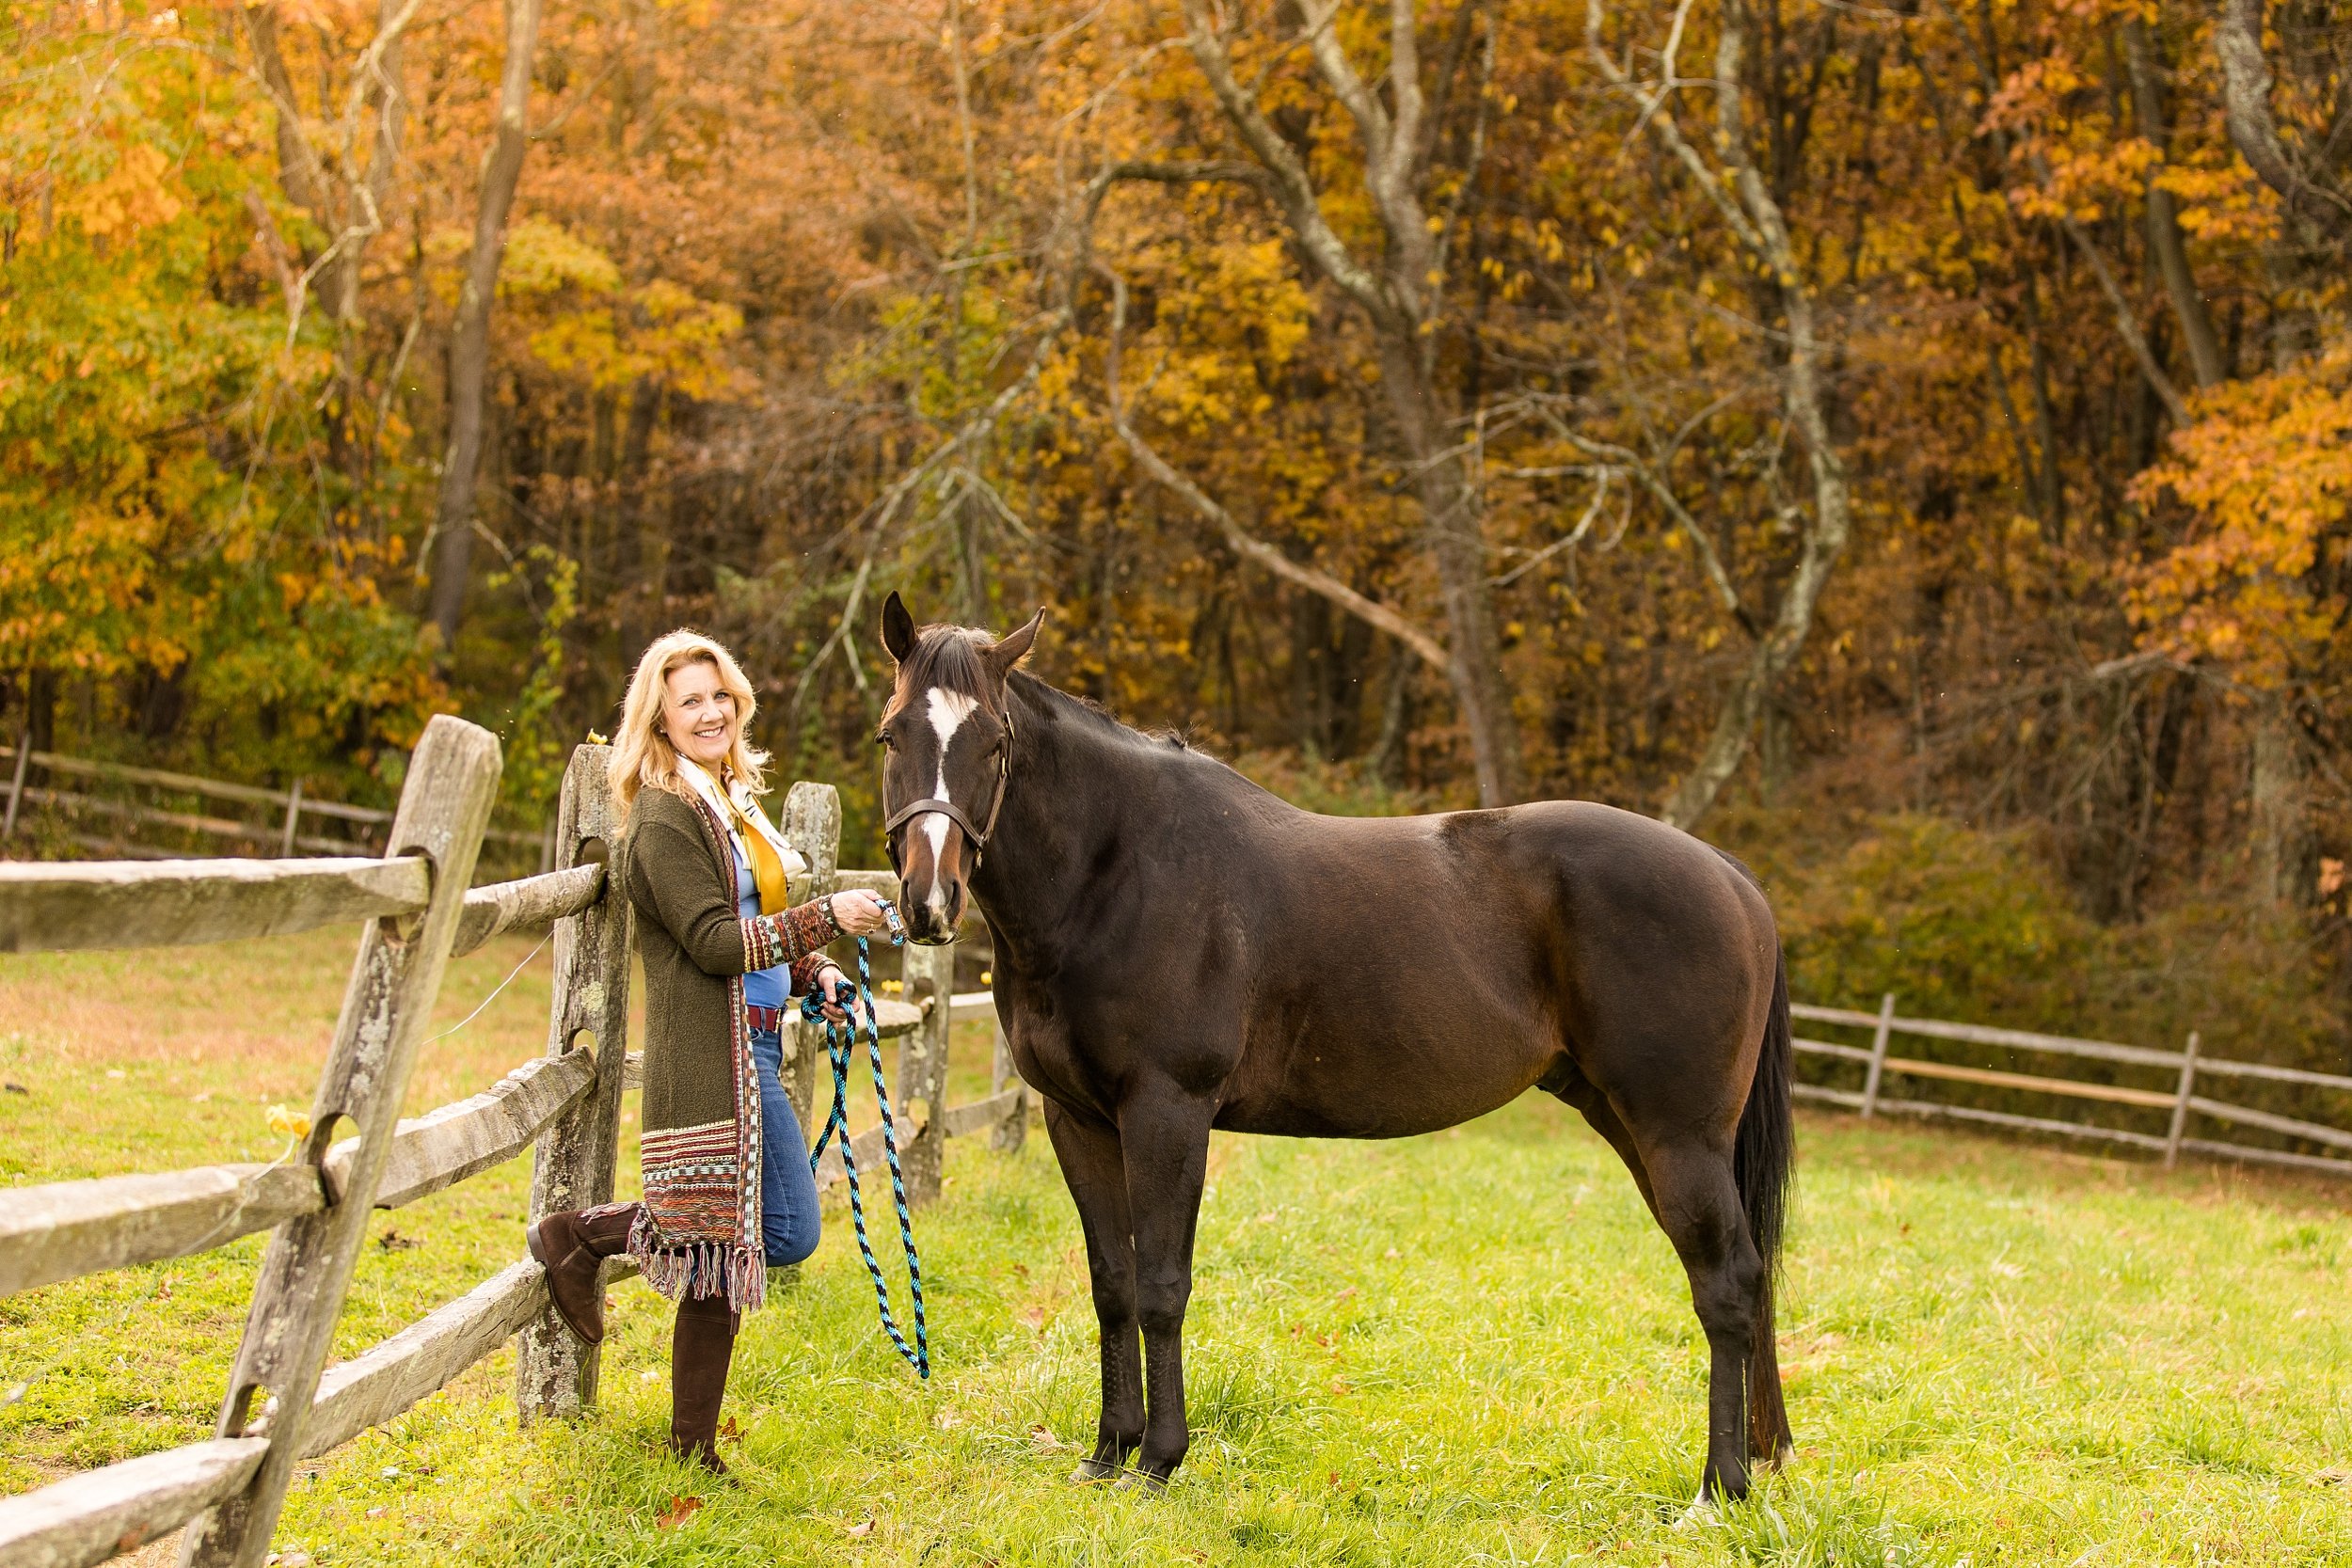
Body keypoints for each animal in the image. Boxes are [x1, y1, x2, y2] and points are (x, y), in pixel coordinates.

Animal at [875, 594, 1788, 1504]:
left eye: (994, 742)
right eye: (891, 736)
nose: (928, 900)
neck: (1119, 869)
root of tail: (1730, 874)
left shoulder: (1168, 1111)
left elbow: (1163, 1285)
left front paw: (1160, 1461)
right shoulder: (1079, 1119)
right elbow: (1113, 1285)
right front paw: (1107, 1454)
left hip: (1677, 1136)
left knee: (1728, 1282)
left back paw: (1719, 1490)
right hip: (1638, 1129)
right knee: (1746, 1274)